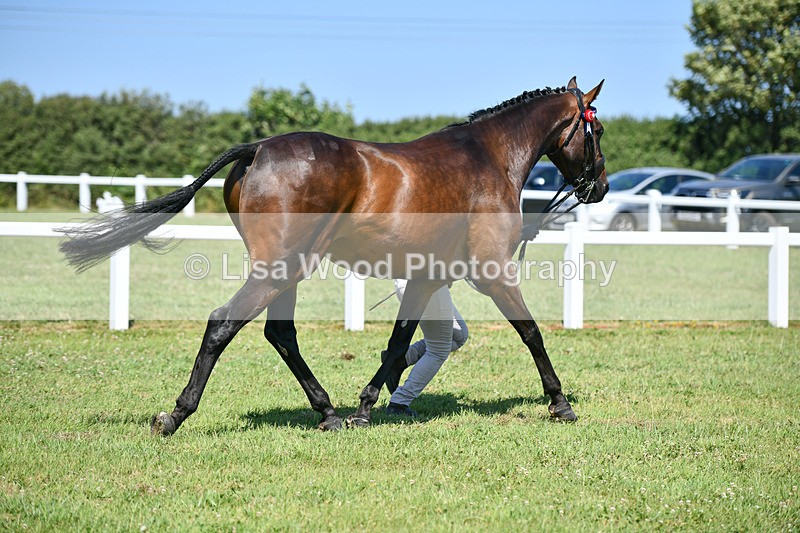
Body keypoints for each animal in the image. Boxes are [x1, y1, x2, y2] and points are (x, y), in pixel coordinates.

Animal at [59, 77, 607, 434]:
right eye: (596, 132)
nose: (598, 187)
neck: (488, 158)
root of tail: (258, 149)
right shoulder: (493, 270)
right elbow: (531, 331)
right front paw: (560, 403)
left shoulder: (427, 276)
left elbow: (397, 342)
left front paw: (366, 405)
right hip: (279, 268)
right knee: (223, 324)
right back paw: (174, 415)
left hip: (287, 272)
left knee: (279, 334)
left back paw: (328, 412)